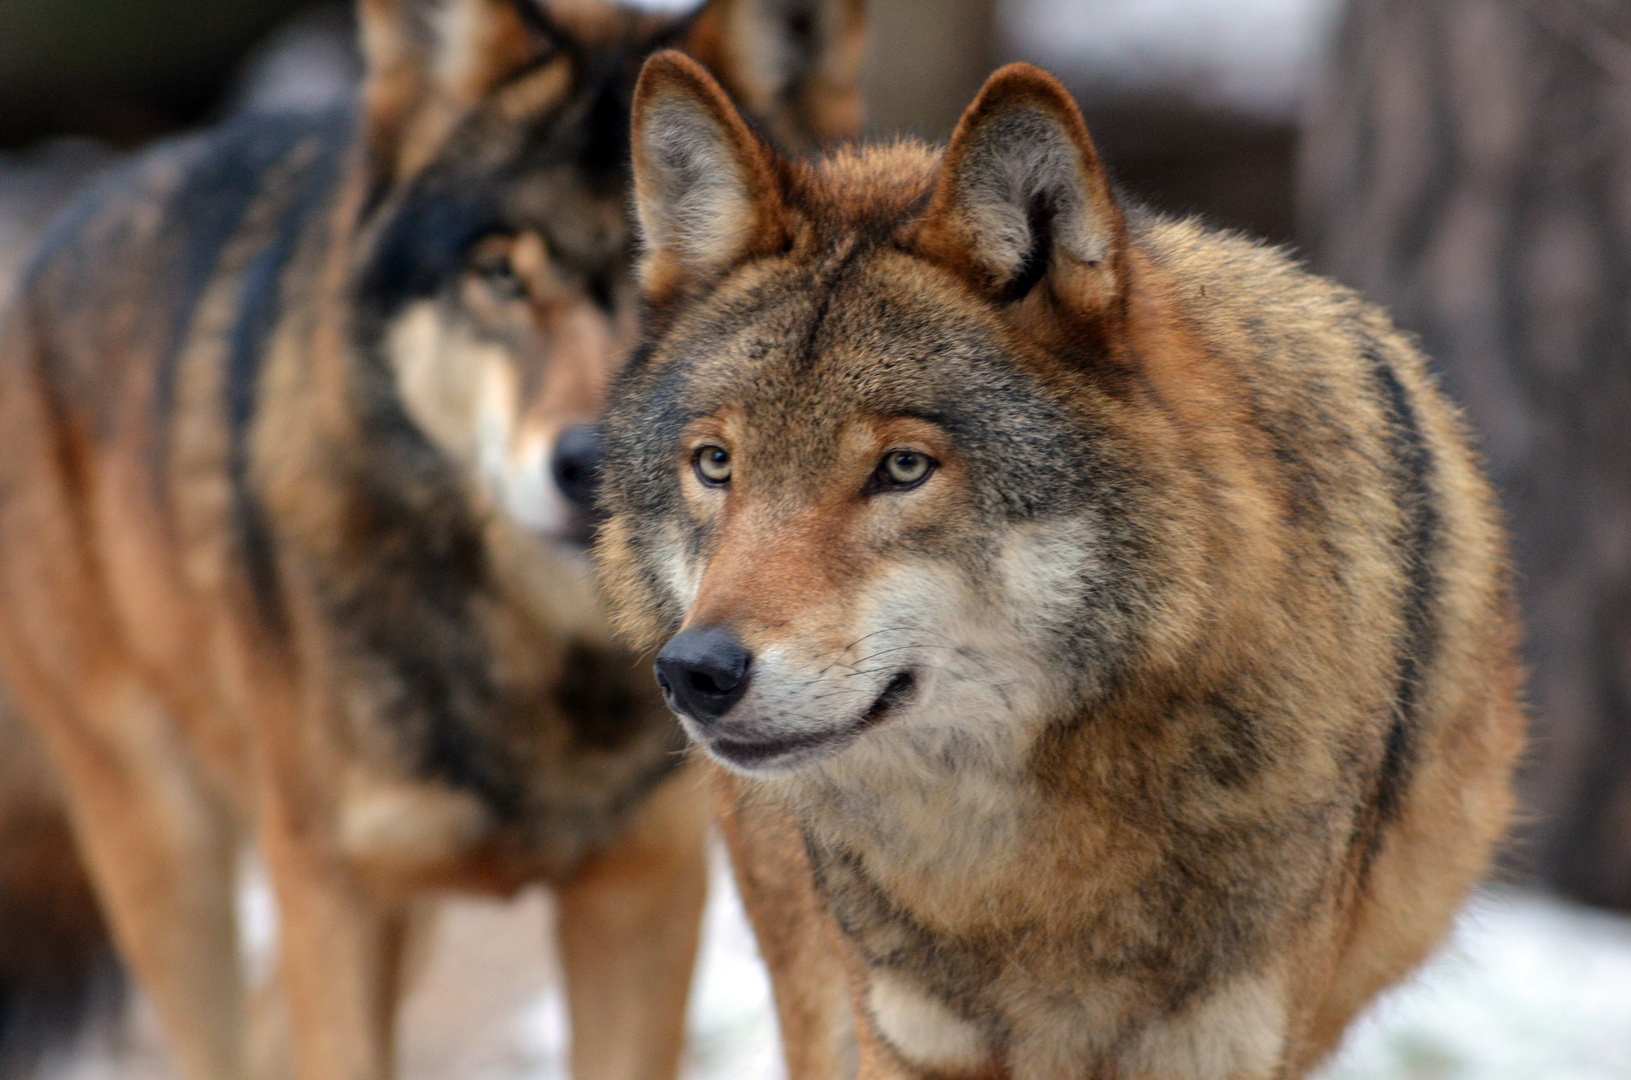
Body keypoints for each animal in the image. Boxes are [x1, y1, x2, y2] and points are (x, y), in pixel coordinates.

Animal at [0, 2, 867, 1080]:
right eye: (499, 276)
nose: (589, 463)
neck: (537, 658)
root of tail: (51, 241)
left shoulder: (642, 892)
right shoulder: (334, 894)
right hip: (170, 861)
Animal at [600, 55, 1526, 1080]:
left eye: (903, 467)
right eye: (716, 463)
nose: (696, 672)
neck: (1024, 868)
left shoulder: (1230, 1043)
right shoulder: (905, 1035)